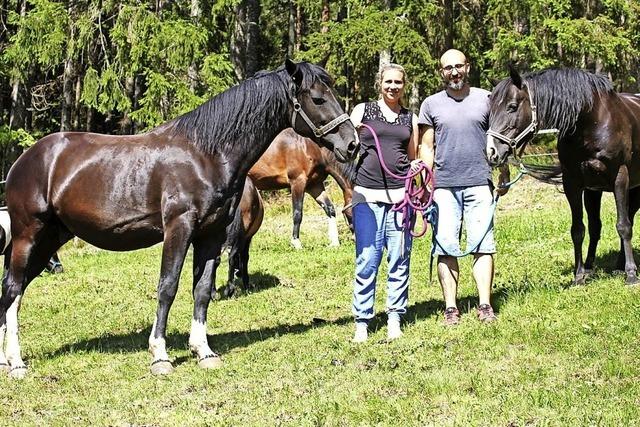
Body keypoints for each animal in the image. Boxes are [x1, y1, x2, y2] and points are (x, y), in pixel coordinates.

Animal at [1, 59, 360, 378]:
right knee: (14, 289)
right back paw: (17, 363)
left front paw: (204, 351)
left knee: (11, 293)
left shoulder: (211, 234)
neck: (205, 154)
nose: (352, 143)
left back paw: (6, 360)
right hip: (27, 236)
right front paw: (160, 356)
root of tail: (24, 160)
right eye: (317, 98)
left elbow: (202, 289)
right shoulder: (179, 227)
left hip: (50, 240)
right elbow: (168, 287)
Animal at [484, 68, 640, 286]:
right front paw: (579, 276)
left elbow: (623, 226)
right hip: (595, 191)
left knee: (627, 220)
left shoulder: (620, 178)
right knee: (596, 226)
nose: (491, 152)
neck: (591, 121)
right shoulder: (572, 183)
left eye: (512, 107)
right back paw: (598, 267)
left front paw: (631, 274)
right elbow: (578, 229)